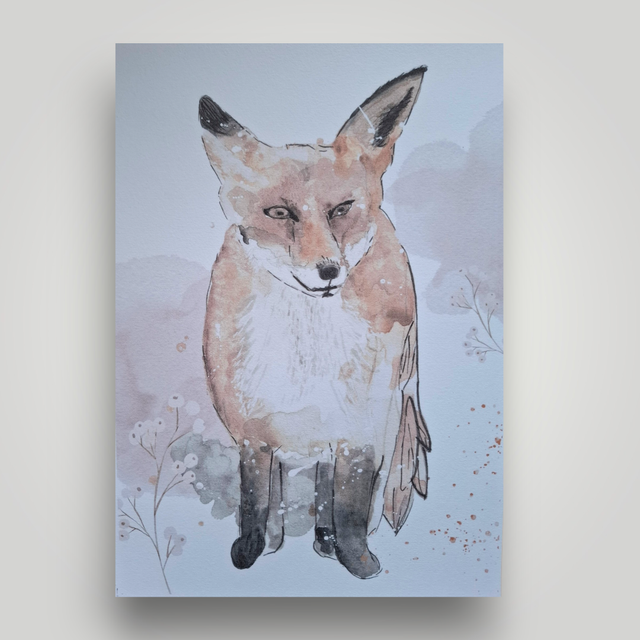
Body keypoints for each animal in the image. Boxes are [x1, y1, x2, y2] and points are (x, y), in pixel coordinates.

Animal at [199, 67, 431, 579]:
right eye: (280, 213)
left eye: (341, 209)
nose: (327, 272)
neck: (308, 349)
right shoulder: (254, 428)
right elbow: (254, 500)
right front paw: (250, 553)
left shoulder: (361, 434)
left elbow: (349, 507)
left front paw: (360, 566)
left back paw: (326, 540)